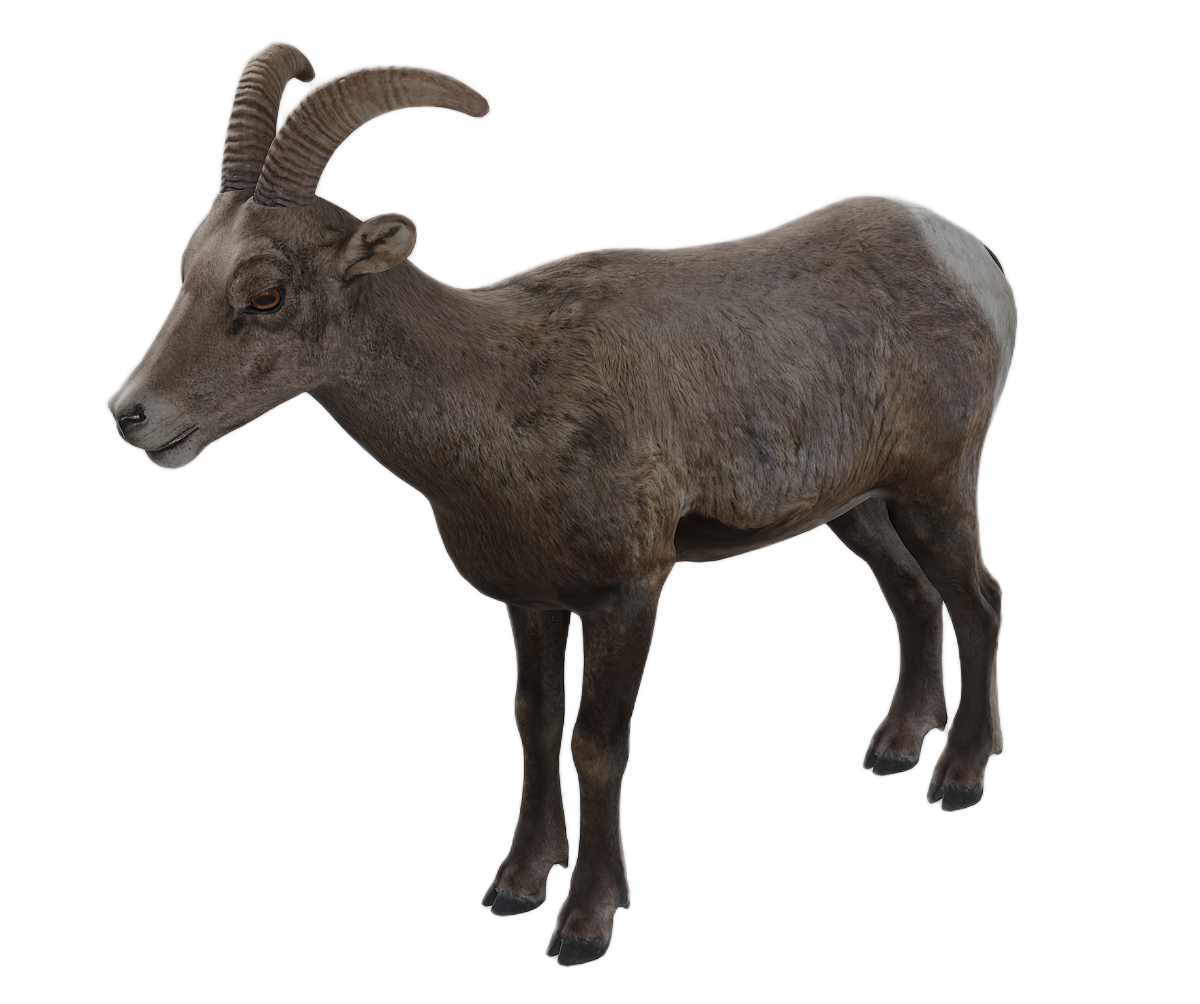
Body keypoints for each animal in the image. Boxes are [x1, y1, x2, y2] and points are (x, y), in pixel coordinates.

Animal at [104, 40, 1018, 966]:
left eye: (266, 293)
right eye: (187, 272)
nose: (131, 415)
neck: (507, 389)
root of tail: (971, 258)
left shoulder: (630, 596)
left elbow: (599, 744)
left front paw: (585, 921)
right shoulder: (532, 601)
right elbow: (536, 723)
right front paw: (514, 887)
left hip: (936, 489)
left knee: (979, 598)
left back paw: (958, 779)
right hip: (860, 508)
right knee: (914, 598)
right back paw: (894, 751)